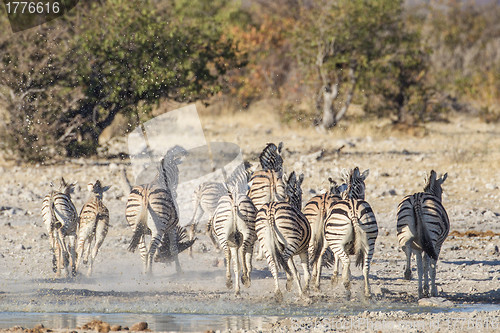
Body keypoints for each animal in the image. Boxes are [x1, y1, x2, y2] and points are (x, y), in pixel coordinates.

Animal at [256, 172, 310, 300]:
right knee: (283, 261)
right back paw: (288, 283)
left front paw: (301, 292)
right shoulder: (304, 249)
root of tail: (271, 211)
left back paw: (278, 292)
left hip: (265, 242)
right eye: (301, 193)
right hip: (291, 243)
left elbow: (296, 272)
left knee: (273, 264)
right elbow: (306, 273)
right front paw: (305, 292)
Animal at [322, 166, 376, 298]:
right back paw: (367, 292)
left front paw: (336, 279)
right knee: (366, 267)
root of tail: (354, 213)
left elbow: (338, 259)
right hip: (370, 241)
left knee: (346, 261)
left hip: (337, 241)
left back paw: (347, 286)